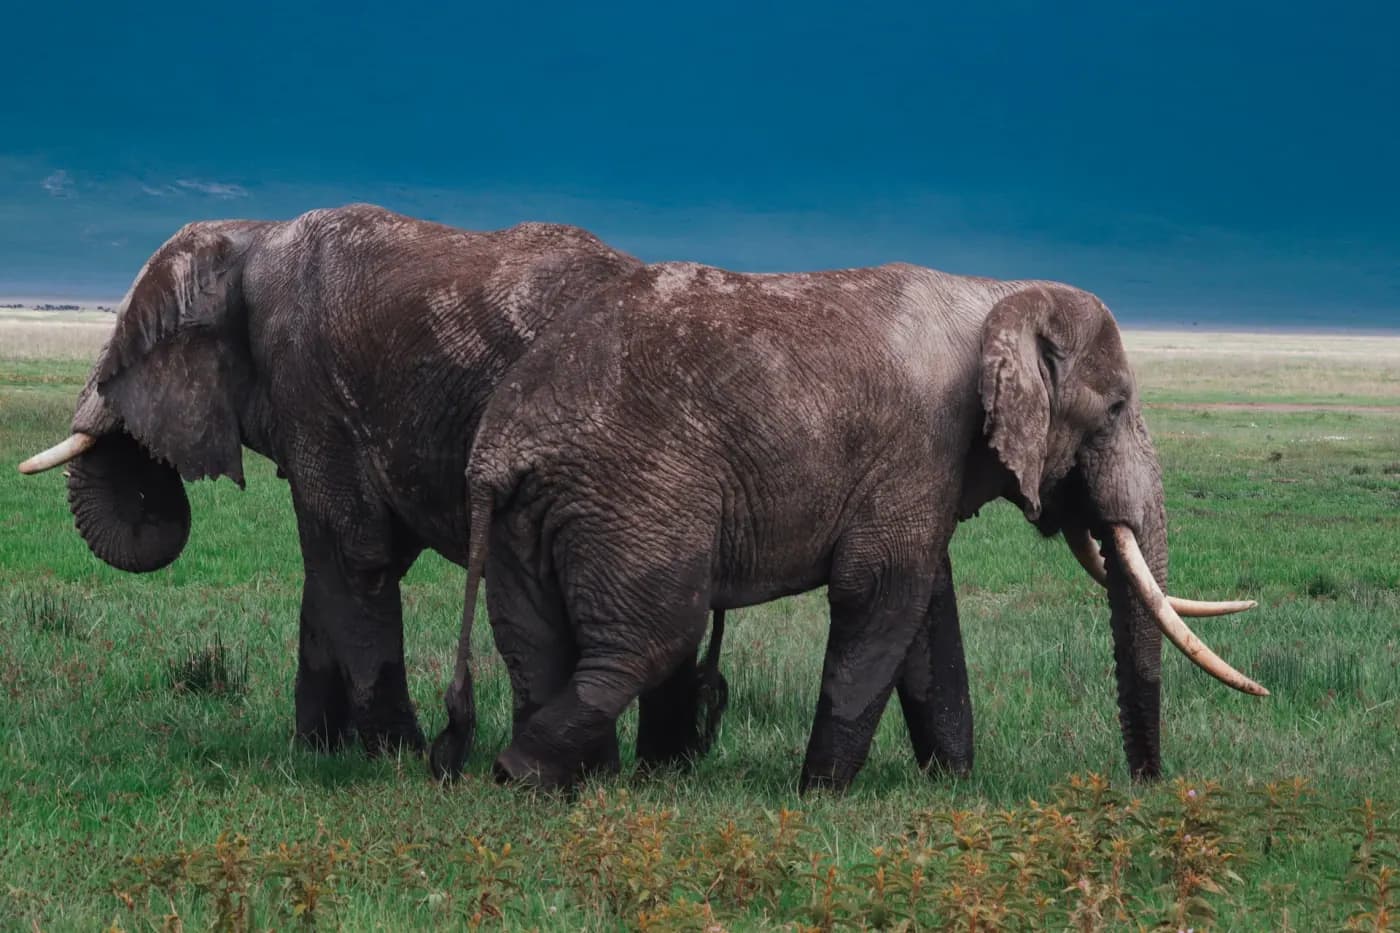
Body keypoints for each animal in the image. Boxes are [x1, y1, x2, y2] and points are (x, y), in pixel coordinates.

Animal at [18, 203, 658, 755]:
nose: (151, 481)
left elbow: (352, 554)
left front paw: (393, 754)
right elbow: (334, 564)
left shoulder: (308, 381)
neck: (254, 236)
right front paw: (316, 750)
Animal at [429, 261, 1265, 792]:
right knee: (651, 639)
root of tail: (501, 445)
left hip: (530, 516)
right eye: (1117, 406)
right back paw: (520, 773)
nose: (1148, 787)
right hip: (638, 494)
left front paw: (951, 785)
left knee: (535, 643)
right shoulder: (921, 439)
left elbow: (927, 606)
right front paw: (823, 793)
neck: (996, 295)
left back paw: (564, 783)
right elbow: (882, 593)